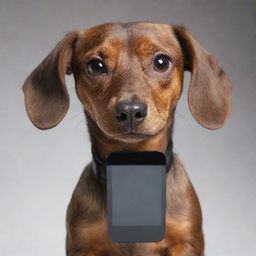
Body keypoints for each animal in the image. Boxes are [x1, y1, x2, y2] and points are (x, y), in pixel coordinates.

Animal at [22, 22, 232, 256]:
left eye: (161, 62)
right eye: (96, 66)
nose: (130, 110)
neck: (132, 169)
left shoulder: (186, 242)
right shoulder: (83, 245)